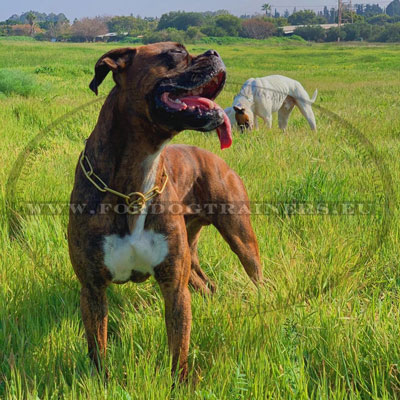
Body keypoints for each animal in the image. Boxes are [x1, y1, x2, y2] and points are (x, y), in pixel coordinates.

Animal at [69, 42, 262, 382]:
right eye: (175, 53)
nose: (214, 52)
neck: (133, 186)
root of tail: (215, 158)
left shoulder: (174, 287)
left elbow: (178, 349)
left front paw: (180, 384)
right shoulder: (92, 289)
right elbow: (98, 350)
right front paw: (101, 383)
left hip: (240, 238)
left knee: (255, 273)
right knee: (206, 284)